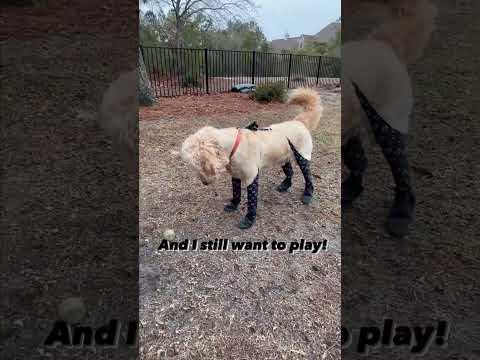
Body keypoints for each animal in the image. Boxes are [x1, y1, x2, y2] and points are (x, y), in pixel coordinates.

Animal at [180, 87, 322, 228]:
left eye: (202, 163)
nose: (204, 182)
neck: (235, 146)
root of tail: (299, 121)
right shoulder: (235, 175)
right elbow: (236, 193)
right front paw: (233, 205)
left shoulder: (251, 176)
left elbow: (252, 200)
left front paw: (249, 219)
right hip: (283, 157)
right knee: (290, 172)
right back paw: (285, 186)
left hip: (302, 157)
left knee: (308, 176)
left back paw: (307, 194)